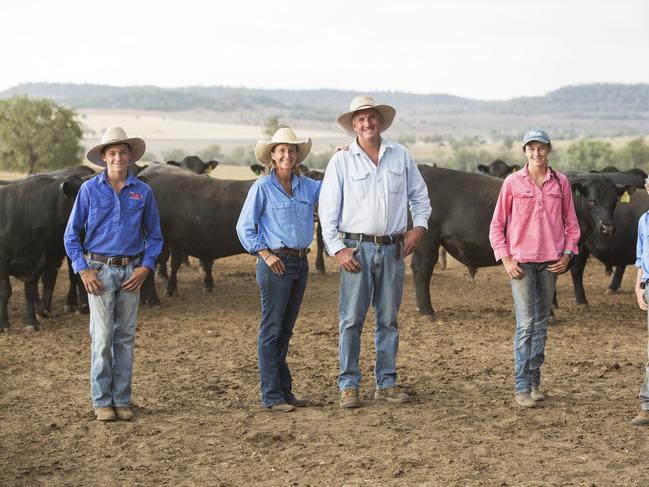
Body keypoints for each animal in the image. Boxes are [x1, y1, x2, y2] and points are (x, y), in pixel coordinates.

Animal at [0, 175, 83, 332]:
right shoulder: (3, 261)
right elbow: (5, 291)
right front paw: (4, 324)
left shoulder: (37, 260)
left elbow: (30, 292)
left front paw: (32, 322)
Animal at [412, 166, 632, 316]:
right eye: (592, 200)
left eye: (614, 201)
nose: (608, 228)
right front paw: (549, 312)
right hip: (428, 238)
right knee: (422, 269)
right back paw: (427, 311)